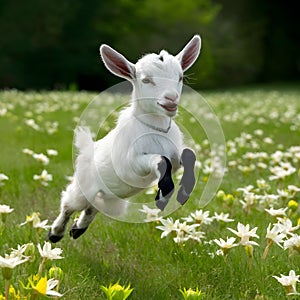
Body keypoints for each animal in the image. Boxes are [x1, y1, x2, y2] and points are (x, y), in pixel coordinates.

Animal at [48, 35, 202, 243]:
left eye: (180, 77)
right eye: (146, 80)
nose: (171, 99)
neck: (155, 130)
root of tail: (88, 148)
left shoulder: (175, 156)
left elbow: (188, 154)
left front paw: (184, 192)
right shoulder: (132, 164)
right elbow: (161, 160)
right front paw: (163, 197)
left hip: (110, 197)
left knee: (92, 207)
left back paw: (77, 229)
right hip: (83, 186)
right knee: (68, 205)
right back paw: (55, 233)